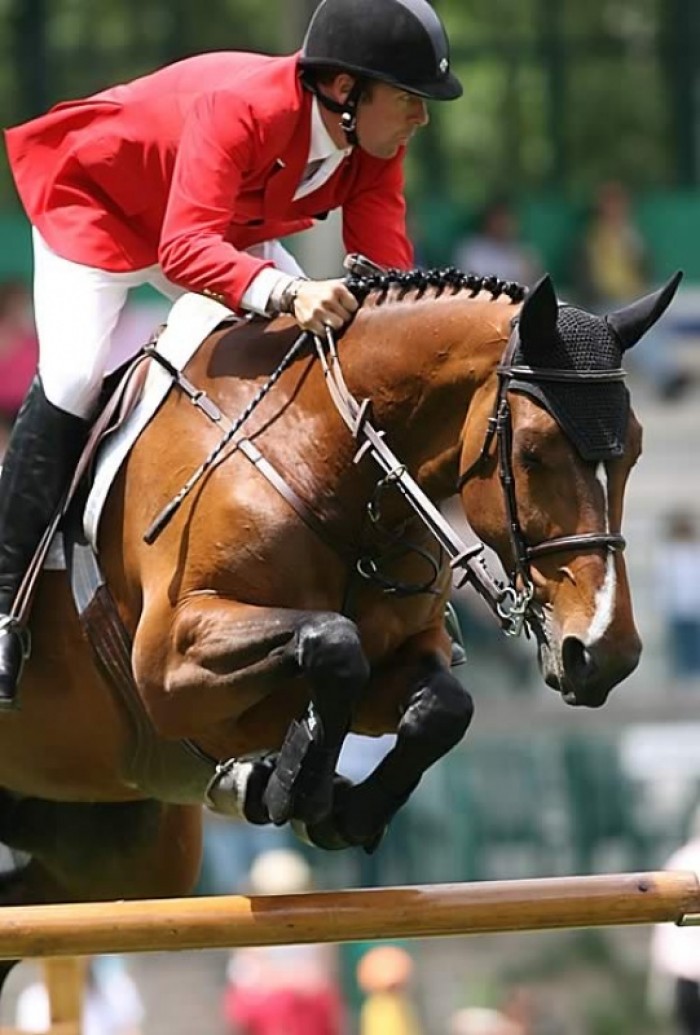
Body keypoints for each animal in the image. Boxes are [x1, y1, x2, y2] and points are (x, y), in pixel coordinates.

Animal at [0, 267, 679, 952]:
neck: (320, 462)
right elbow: (332, 641)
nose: (605, 651)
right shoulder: (168, 667)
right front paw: (289, 785)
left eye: (635, 451)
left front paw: (338, 810)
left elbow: (443, 706)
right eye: (534, 452)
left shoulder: (406, 655)